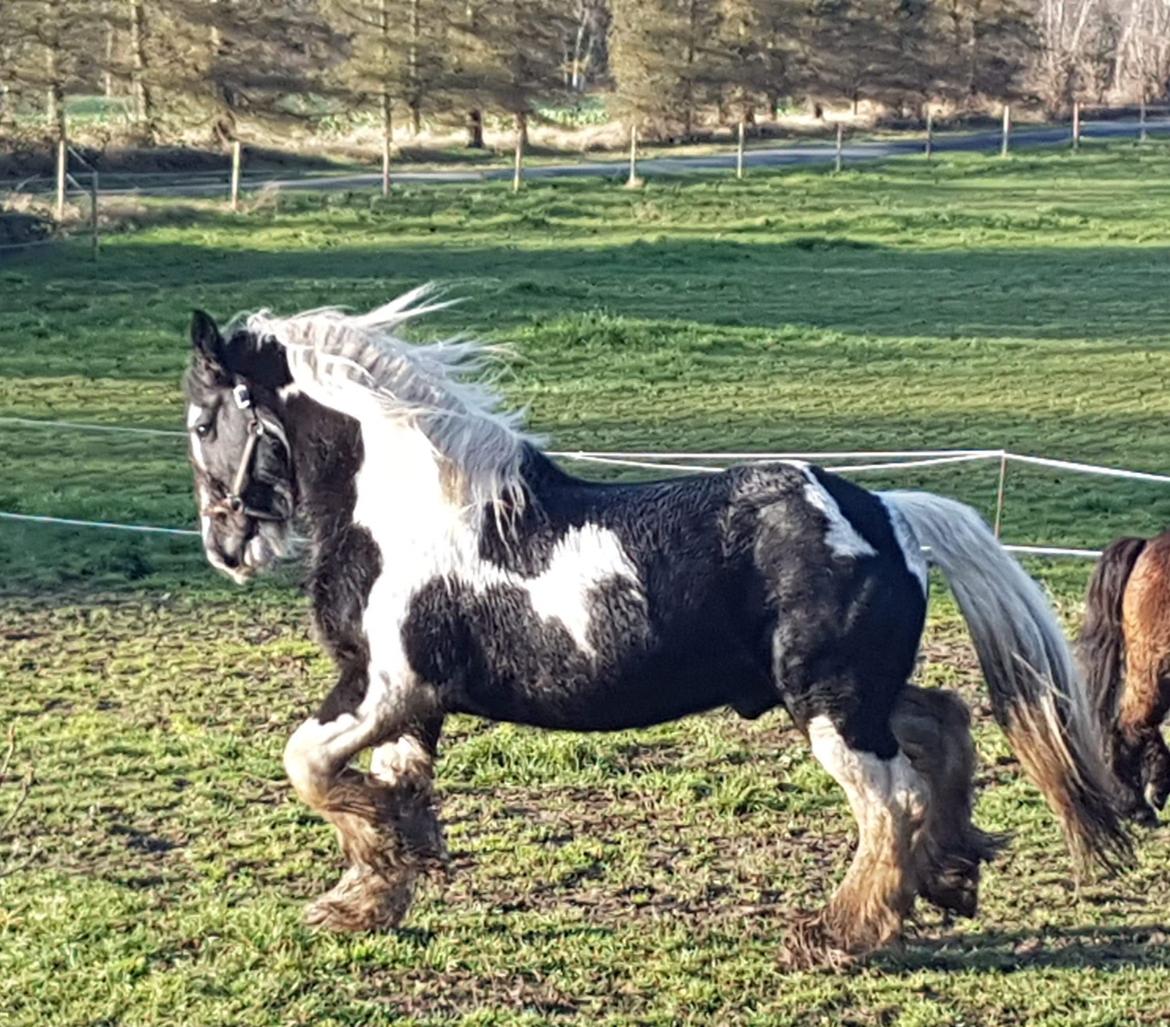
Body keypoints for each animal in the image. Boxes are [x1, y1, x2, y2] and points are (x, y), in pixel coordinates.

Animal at [180, 290, 1123, 963]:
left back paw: (837, 934)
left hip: (829, 703)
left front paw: (369, 874)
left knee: (892, 800)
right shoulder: (413, 706)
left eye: (201, 421)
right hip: (851, 691)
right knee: (944, 723)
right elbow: (390, 789)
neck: (416, 515)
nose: (224, 547)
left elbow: (308, 766)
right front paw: (369, 894)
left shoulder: (383, 685)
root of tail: (888, 512)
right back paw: (951, 875)